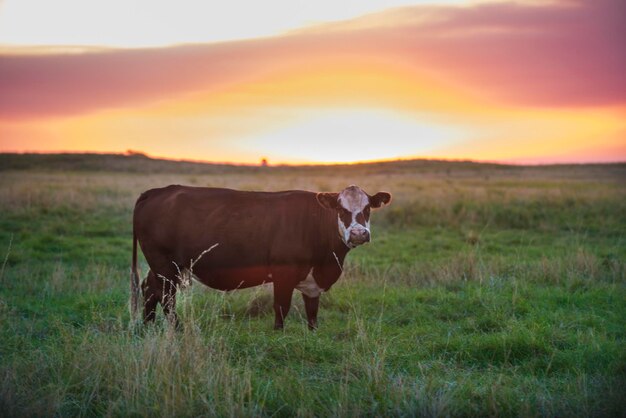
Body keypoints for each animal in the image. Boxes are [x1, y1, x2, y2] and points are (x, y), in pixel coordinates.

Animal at [130, 185, 390, 330]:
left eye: (368, 208)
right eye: (340, 209)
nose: (358, 233)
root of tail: (158, 191)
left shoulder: (312, 281)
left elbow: (312, 312)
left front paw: (312, 334)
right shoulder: (284, 274)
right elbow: (281, 308)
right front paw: (278, 334)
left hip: (163, 266)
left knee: (150, 289)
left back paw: (147, 327)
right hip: (165, 264)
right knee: (166, 297)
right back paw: (177, 329)